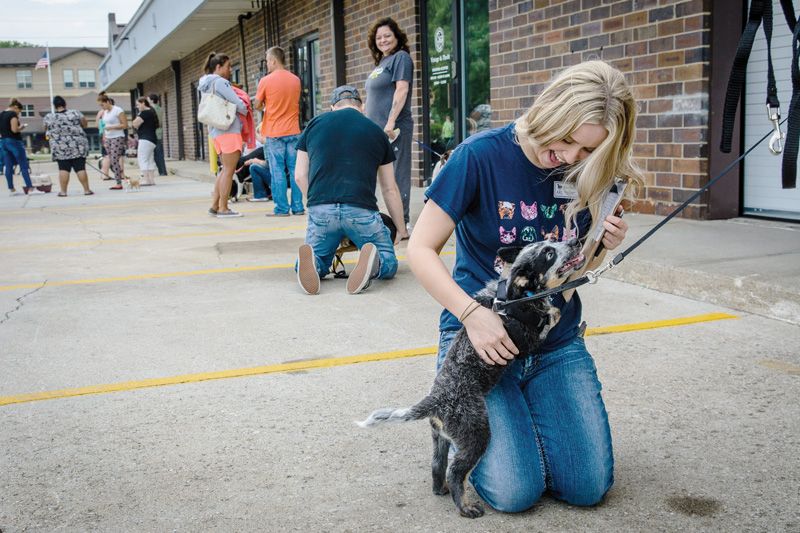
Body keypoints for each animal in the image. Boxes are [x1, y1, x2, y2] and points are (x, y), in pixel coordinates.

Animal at [360, 239, 584, 516]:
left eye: (552, 240)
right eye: (549, 253)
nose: (575, 241)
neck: (516, 298)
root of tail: (436, 399)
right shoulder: (529, 341)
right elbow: (551, 315)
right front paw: (552, 309)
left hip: (441, 439)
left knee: (437, 465)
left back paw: (441, 489)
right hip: (476, 434)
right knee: (456, 472)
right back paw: (466, 506)